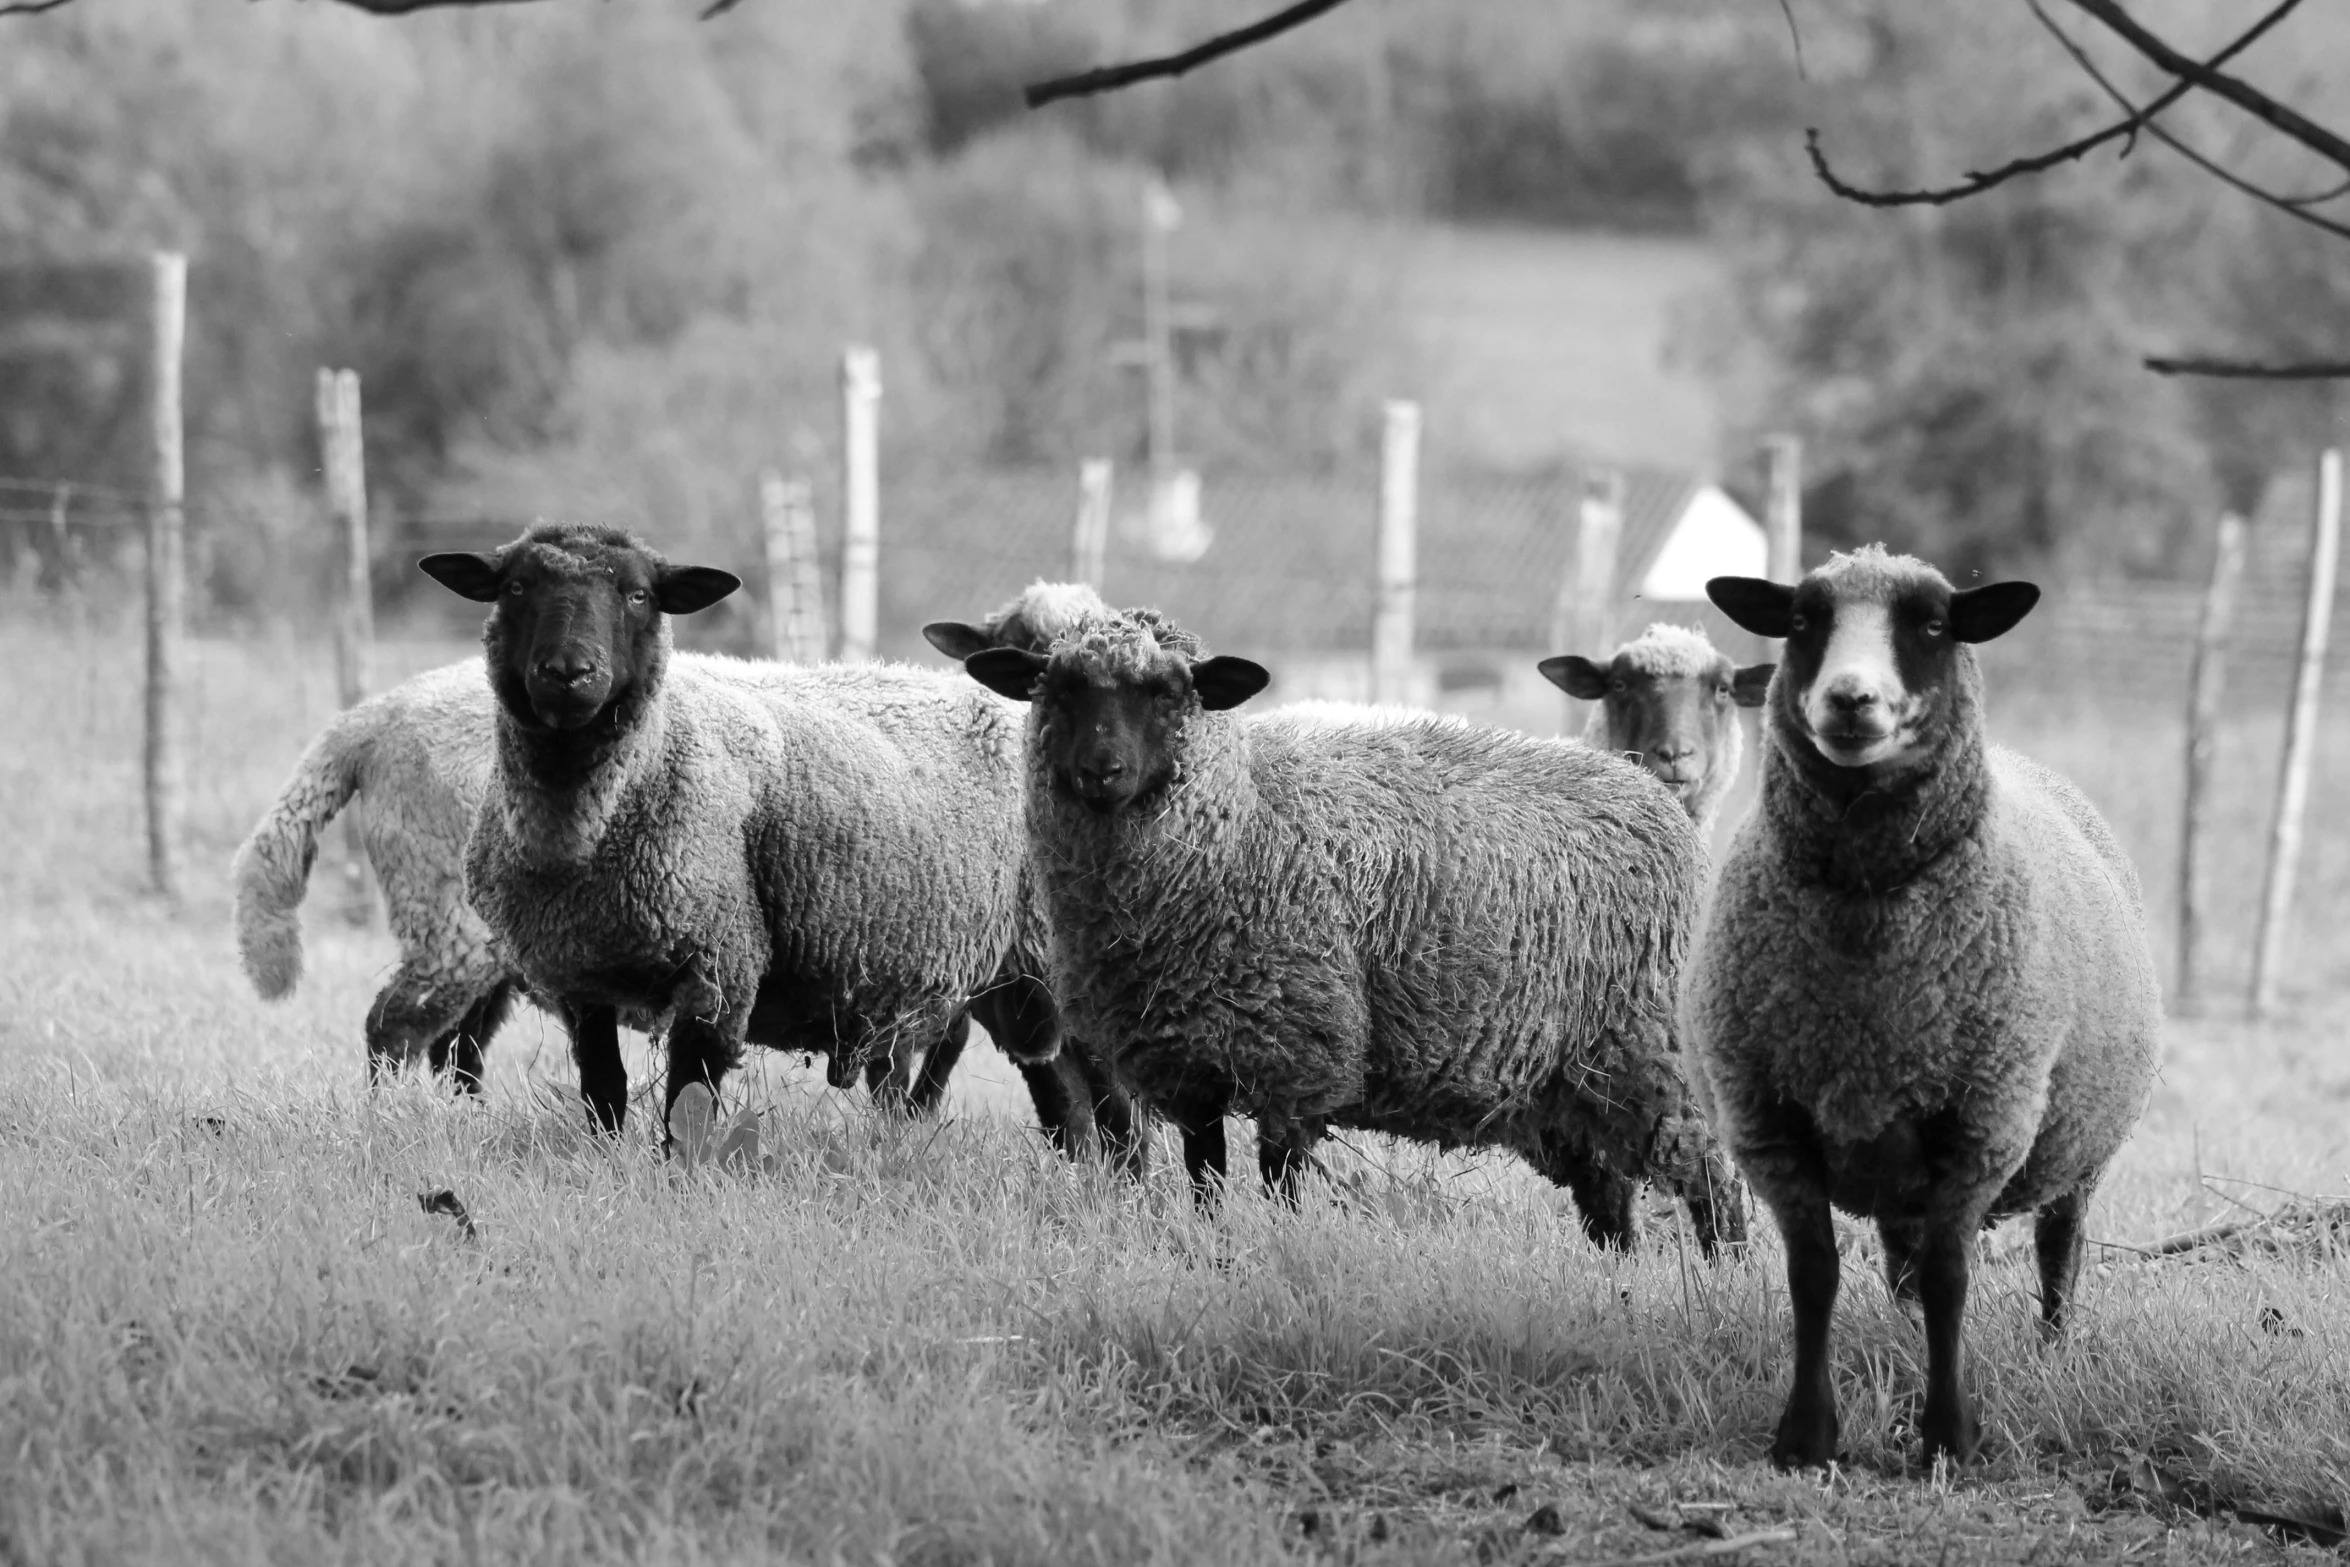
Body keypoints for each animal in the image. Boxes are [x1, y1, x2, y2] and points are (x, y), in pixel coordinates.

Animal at [413, 521, 1057, 1146]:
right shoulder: (579, 977)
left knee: (1061, 1075)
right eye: (516, 587)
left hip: (1040, 947)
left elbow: (689, 1097)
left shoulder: (719, 959)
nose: (569, 673)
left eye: (638, 594)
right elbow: (604, 1091)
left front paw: (679, 1172)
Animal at [1691, 542, 2162, 1475]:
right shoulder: (1770, 1118)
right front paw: (1807, 1437)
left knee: (2059, 1249)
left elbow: (1953, 1280)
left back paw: (2054, 1350)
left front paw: (1949, 1435)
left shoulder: (1982, 1120)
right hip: (1900, 1156)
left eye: (1936, 623)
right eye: (1801, 619)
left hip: (2077, 1145)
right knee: (1902, 1268)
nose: (1850, 699)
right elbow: (1814, 1276)